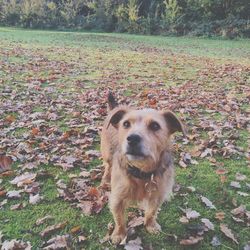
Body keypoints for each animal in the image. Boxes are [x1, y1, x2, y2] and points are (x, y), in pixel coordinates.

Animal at [100, 93, 186, 244]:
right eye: (126, 124)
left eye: (155, 125)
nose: (132, 138)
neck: (141, 171)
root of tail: (116, 108)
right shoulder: (117, 198)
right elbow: (119, 219)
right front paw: (119, 234)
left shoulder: (157, 196)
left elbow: (151, 212)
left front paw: (150, 225)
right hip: (107, 153)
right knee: (107, 165)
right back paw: (105, 179)